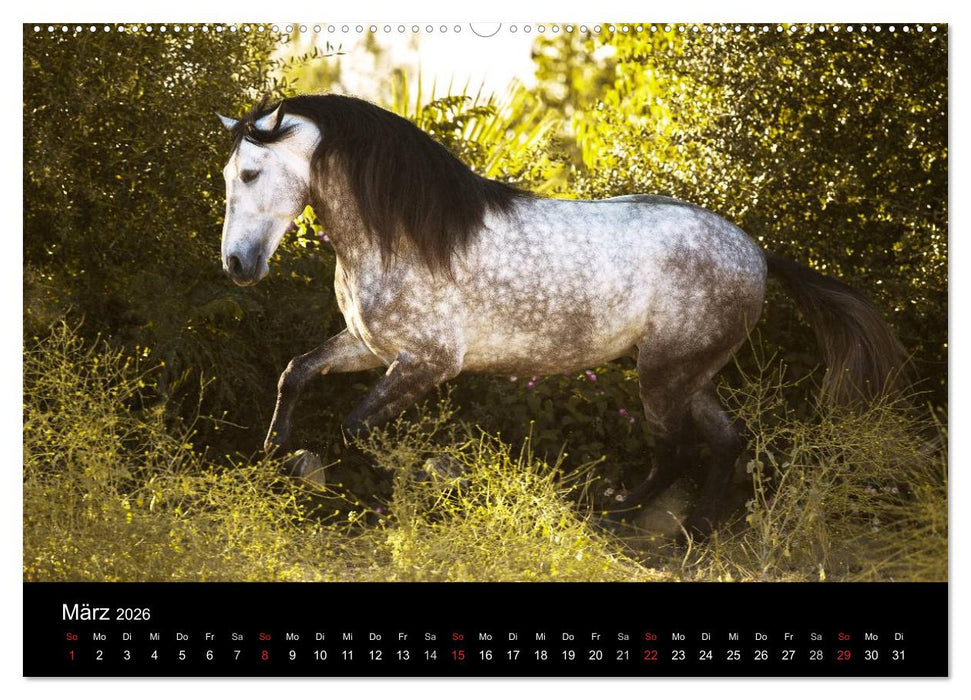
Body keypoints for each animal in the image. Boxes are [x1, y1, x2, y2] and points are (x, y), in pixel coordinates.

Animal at [216, 94, 906, 536]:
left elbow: (357, 429)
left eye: (249, 173)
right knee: (726, 441)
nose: (237, 265)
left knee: (676, 449)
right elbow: (296, 373)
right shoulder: (370, 347)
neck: (402, 237)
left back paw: (616, 517)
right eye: (230, 173)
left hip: (663, 376)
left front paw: (403, 487)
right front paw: (276, 460)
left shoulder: (427, 364)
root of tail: (758, 253)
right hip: (689, 373)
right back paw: (698, 528)